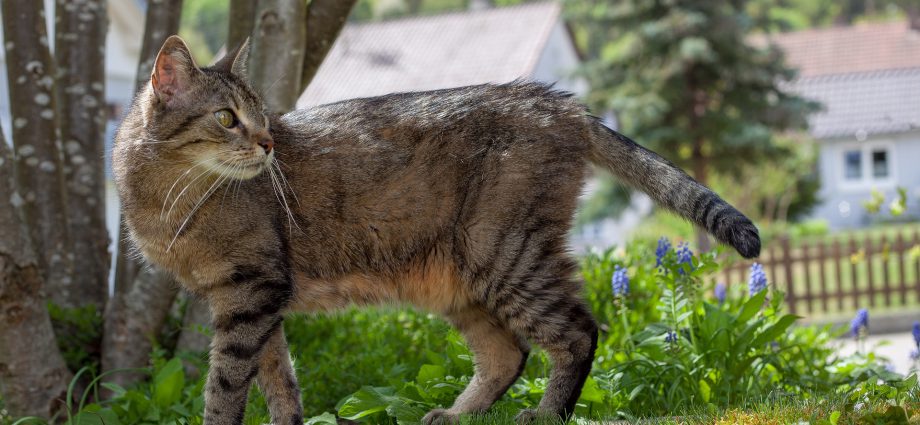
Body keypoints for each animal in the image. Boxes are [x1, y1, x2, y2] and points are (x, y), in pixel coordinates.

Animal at [115, 36, 760, 424]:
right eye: (228, 118)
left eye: (263, 117)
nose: (269, 143)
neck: (161, 200)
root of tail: (558, 101)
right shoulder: (255, 302)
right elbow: (280, 382)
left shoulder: (251, 292)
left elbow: (226, 384)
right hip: (460, 278)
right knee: (507, 354)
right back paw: (457, 414)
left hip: (504, 251)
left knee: (578, 333)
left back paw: (545, 414)